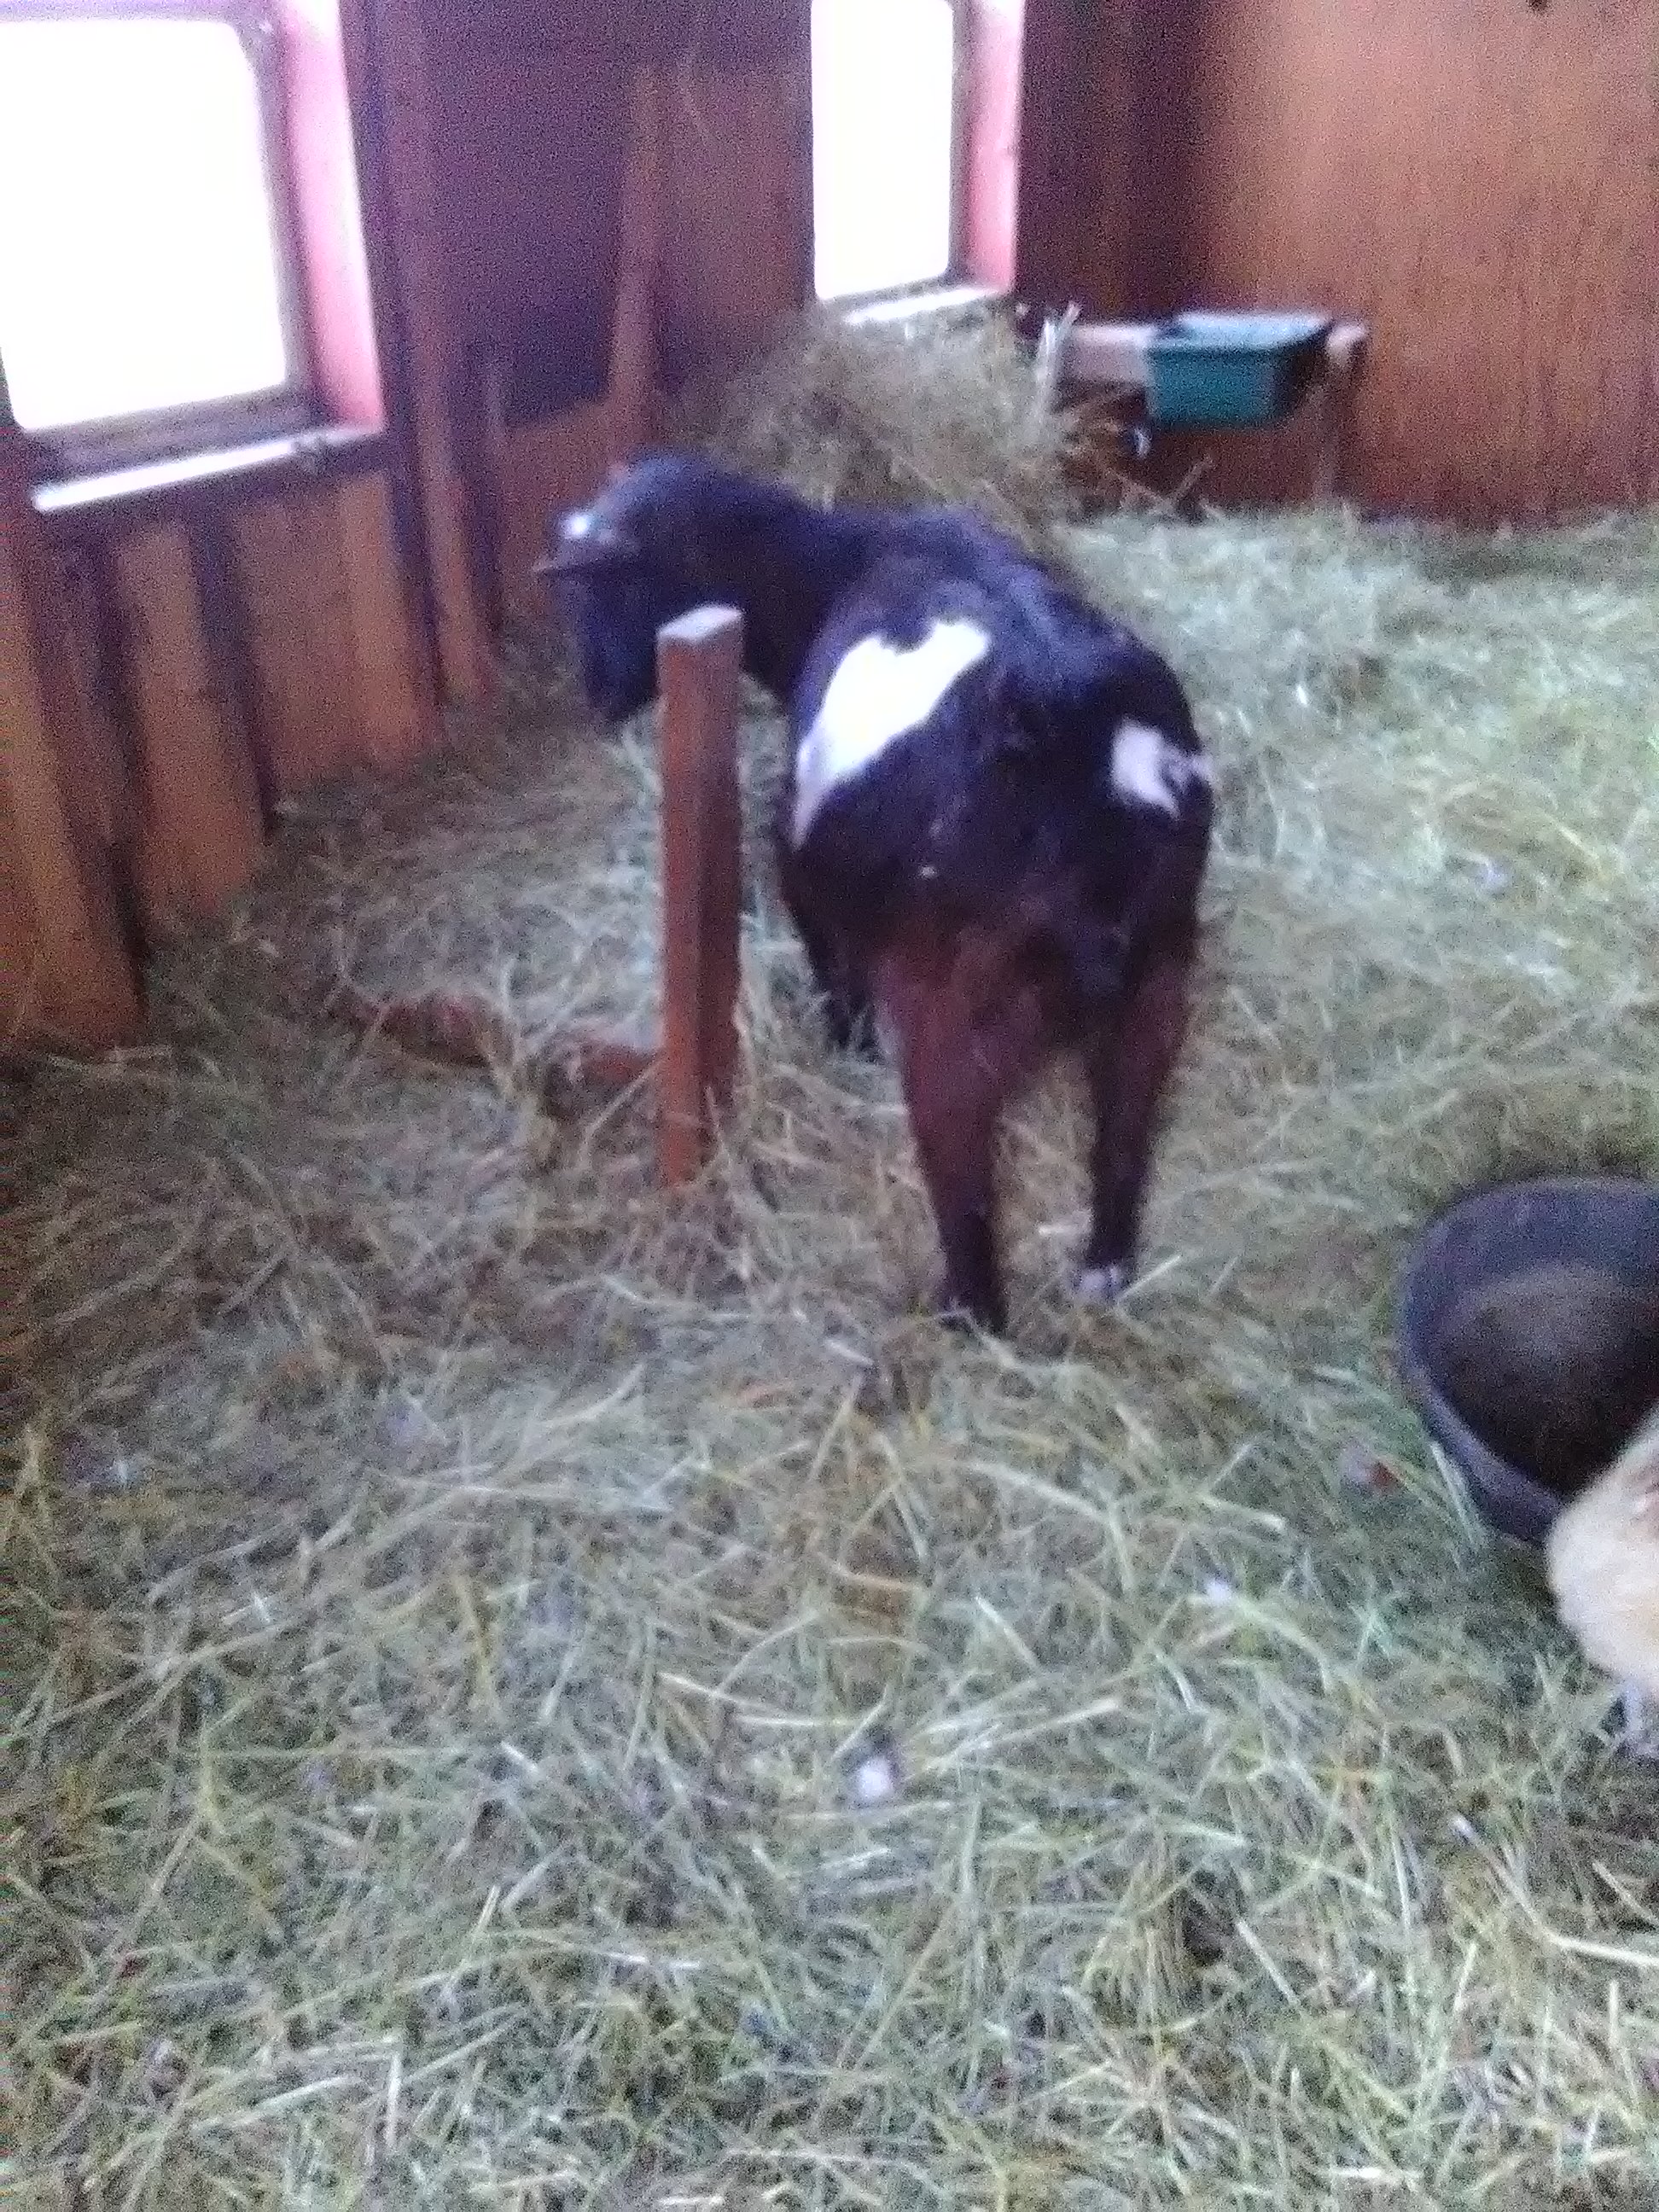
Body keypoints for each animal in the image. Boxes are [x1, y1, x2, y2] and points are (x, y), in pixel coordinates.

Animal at [539, 454, 1213, 1334]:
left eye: (599, 591)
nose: (597, 698)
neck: (834, 567)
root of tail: (1075, 724)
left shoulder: (807, 884)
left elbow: (836, 977)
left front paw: (848, 1047)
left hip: (952, 1008)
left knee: (959, 1160)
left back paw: (969, 1313)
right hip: (1160, 980)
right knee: (1126, 1130)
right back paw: (1103, 1267)